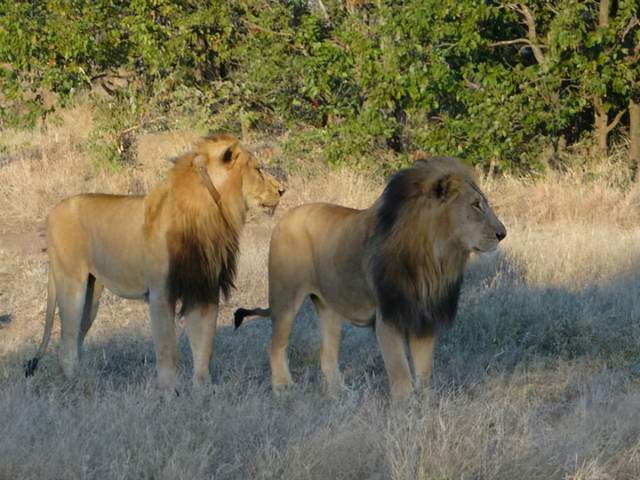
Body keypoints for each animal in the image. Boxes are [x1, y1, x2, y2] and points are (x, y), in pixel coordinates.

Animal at [25, 133, 284, 388]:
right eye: (258, 169)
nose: (282, 190)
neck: (211, 213)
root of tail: (52, 212)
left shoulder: (203, 290)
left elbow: (204, 346)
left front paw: (203, 391)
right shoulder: (161, 293)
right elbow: (167, 351)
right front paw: (169, 392)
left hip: (92, 295)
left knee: (75, 339)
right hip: (72, 285)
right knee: (66, 345)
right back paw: (79, 387)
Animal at [235, 158, 504, 402]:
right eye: (476, 205)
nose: (503, 233)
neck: (436, 256)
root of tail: (285, 217)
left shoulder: (423, 316)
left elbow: (424, 371)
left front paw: (427, 404)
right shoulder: (388, 316)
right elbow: (400, 371)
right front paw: (404, 407)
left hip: (329, 309)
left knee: (327, 354)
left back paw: (339, 393)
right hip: (285, 300)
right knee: (276, 346)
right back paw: (283, 389)